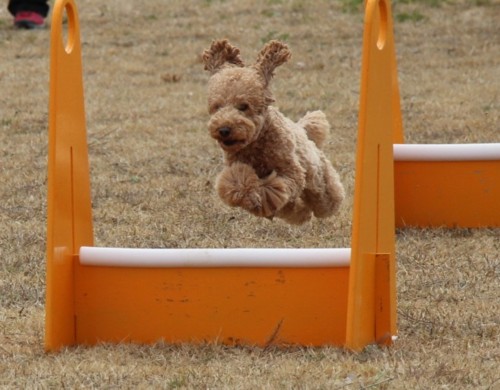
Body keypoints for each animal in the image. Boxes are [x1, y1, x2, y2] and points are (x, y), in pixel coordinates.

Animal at [202, 38, 344, 225]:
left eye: (244, 106)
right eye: (217, 107)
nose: (224, 129)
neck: (256, 143)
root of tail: (302, 129)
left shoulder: (291, 172)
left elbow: (275, 188)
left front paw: (259, 198)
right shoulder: (235, 168)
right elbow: (237, 182)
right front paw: (249, 196)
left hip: (318, 179)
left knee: (324, 198)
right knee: (294, 207)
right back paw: (302, 214)